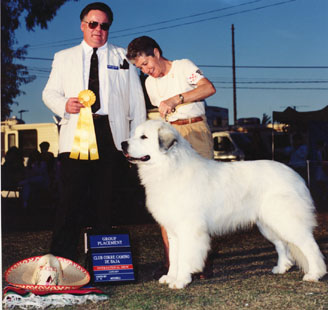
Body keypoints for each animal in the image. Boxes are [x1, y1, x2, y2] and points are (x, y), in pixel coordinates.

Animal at [121, 120, 326, 290]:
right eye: (134, 134)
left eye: (144, 137)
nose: (123, 144)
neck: (169, 167)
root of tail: (296, 176)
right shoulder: (173, 231)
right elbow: (173, 257)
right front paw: (170, 277)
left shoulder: (189, 230)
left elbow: (185, 257)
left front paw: (180, 281)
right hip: (268, 224)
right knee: (282, 244)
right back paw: (281, 268)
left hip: (286, 220)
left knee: (309, 245)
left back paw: (314, 274)